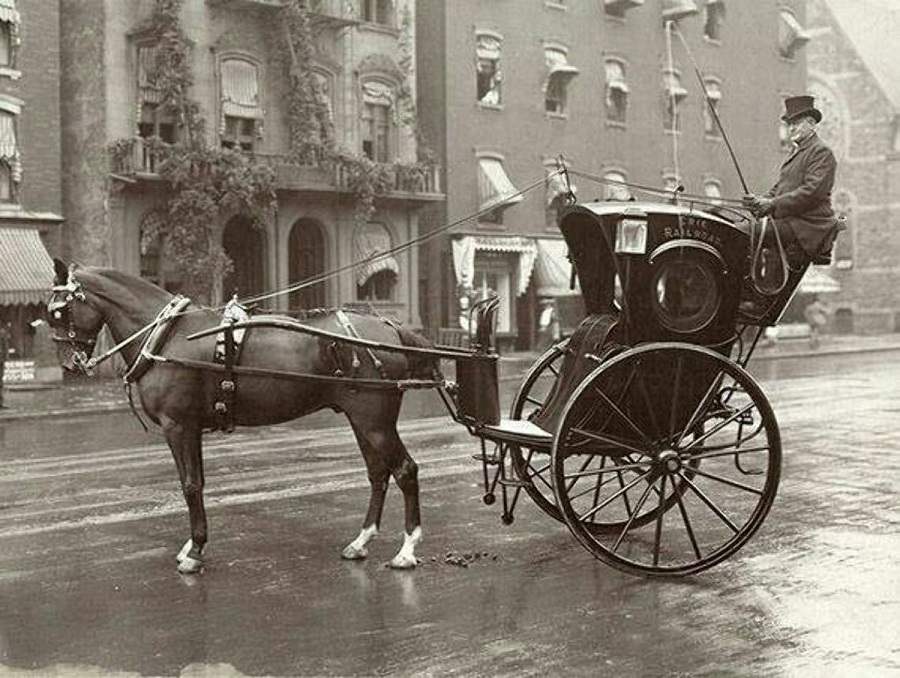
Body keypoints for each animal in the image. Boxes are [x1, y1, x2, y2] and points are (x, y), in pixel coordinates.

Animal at [47, 258, 438, 572]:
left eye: (59, 311)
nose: (69, 364)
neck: (167, 336)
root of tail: (390, 328)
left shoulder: (178, 426)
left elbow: (190, 485)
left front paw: (195, 552)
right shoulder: (192, 427)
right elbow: (198, 483)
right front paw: (193, 544)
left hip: (374, 422)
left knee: (405, 471)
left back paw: (407, 550)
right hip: (362, 421)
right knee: (378, 474)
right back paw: (361, 541)